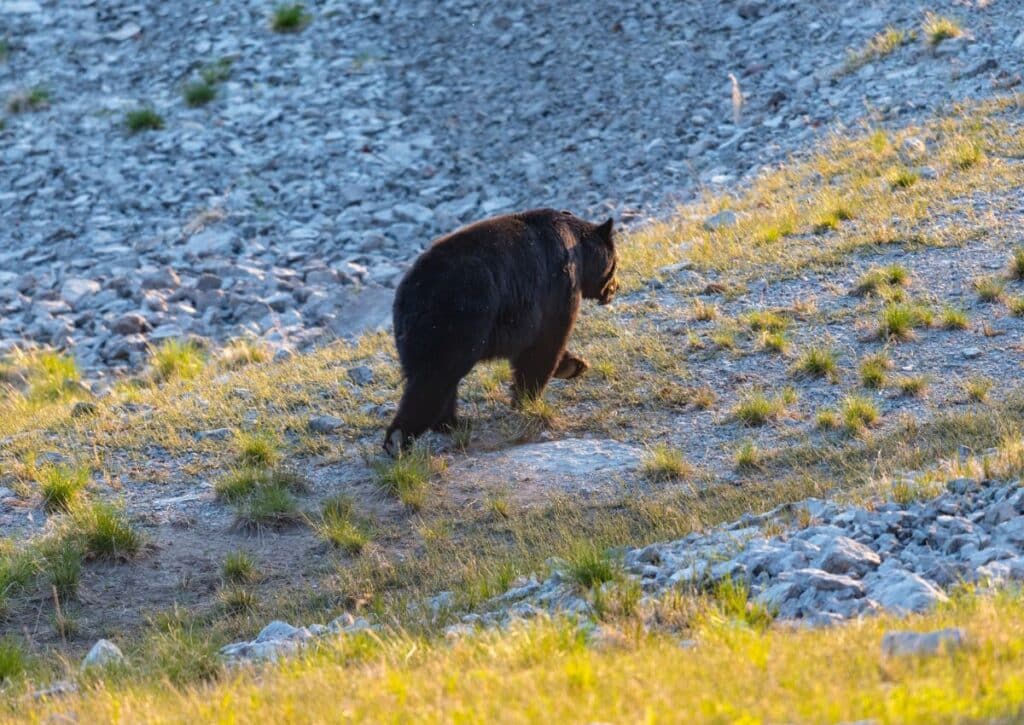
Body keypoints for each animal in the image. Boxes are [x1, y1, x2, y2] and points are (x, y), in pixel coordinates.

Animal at [385, 206, 618, 452]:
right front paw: (527, 398)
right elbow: (546, 342)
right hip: (455, 321)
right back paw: (398, 439)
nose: (615, 288)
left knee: (437, 380)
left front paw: (574, 365)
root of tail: (410, 295)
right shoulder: (557, 285)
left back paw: (453, 423)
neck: (577, 248)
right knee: (434, 378)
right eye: (616, 263)